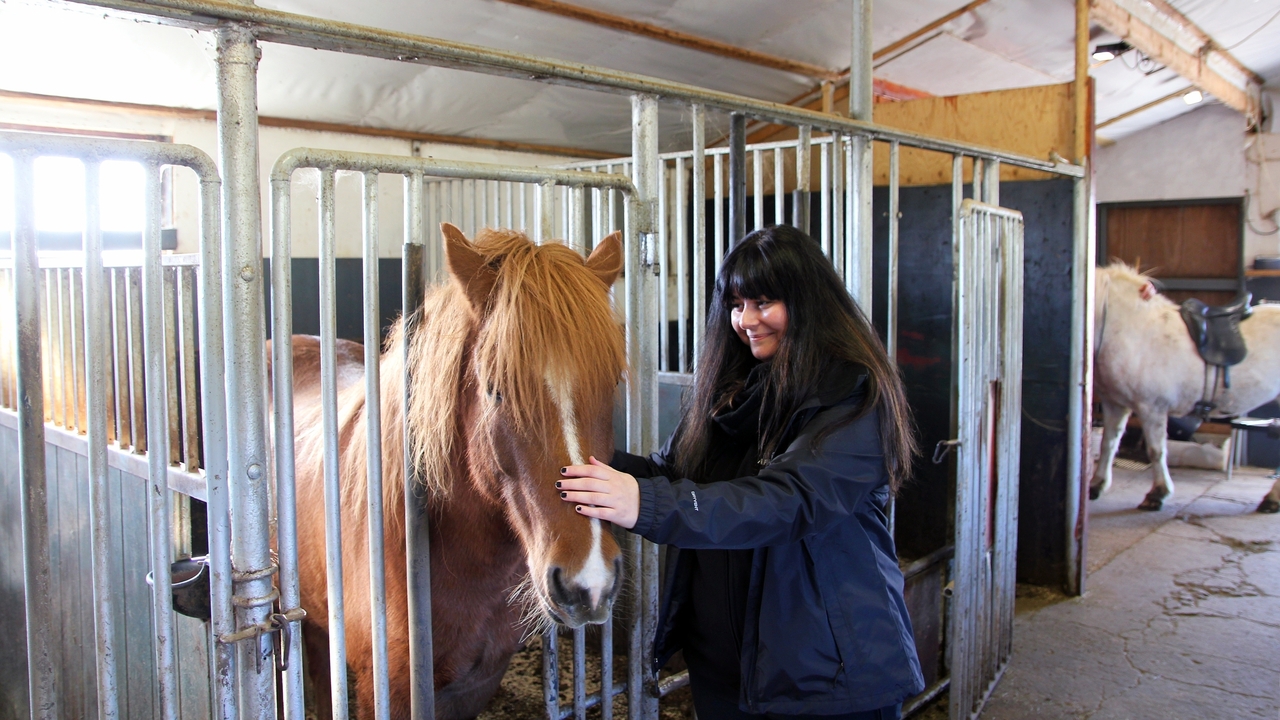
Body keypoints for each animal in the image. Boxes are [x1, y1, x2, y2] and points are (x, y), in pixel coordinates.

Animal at [1090, 263, 1280, 513]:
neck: (1128, 330)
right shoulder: (1115, 404)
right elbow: (1108, 443)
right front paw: (1097, 486)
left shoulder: (1152, 408)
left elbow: (1156, 450)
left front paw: (1157, 494)